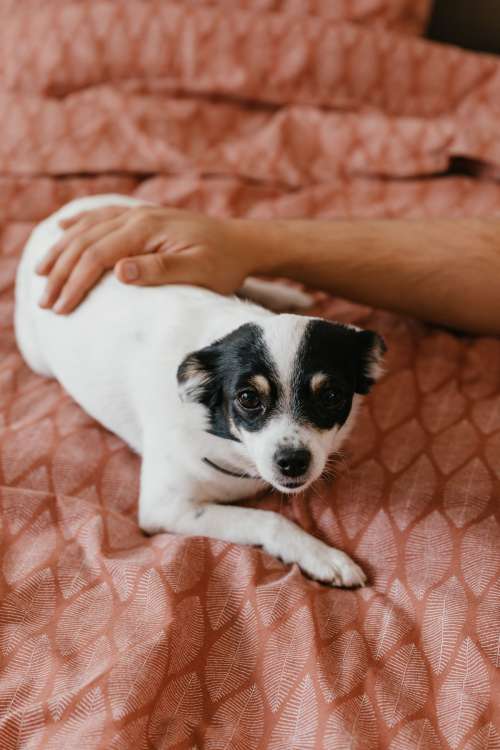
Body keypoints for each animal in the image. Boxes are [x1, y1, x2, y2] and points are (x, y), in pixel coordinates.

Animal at [13, 197, 384, 592]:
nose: (293, 461)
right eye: (248, 399)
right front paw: (322, 555)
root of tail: (61, 215)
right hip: (36, 357)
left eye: (330, 396)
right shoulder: (167, 509)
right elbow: (268, 519)